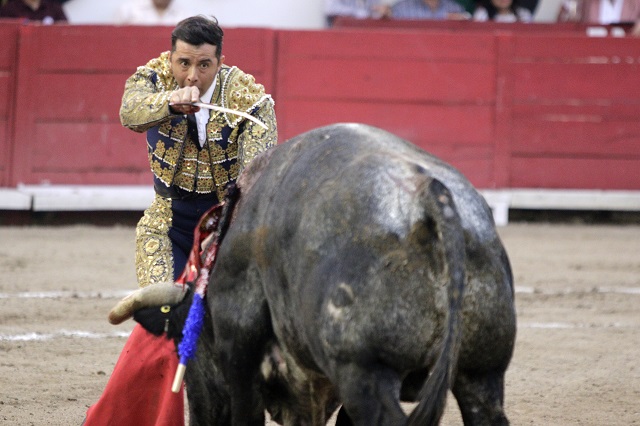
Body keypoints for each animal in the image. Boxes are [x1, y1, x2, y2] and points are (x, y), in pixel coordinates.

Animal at [112, 123, 516, 426]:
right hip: (482, 372)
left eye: (185, 339)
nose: (199, 413)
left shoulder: (239, 347)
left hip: (364, 370)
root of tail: (430, 194)